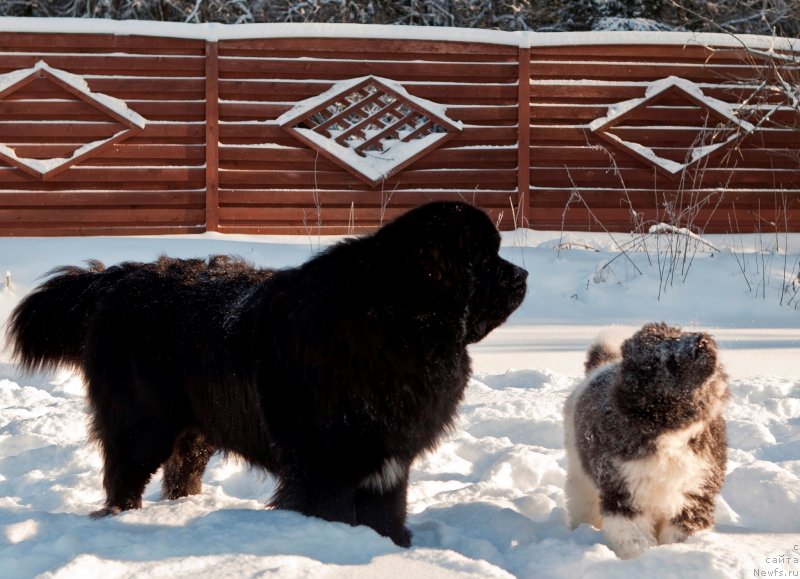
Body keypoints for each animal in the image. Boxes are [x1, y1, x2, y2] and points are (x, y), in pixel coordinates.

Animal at [564, 324, 732, 560]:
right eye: (664, 358)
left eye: (677, 333)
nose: (702, 340)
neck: (670, 432)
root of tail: (601, 366)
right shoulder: (624, 493)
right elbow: (633, 537)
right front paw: (640, 558)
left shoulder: (695, 492)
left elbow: (682, 531)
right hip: (580, 474)